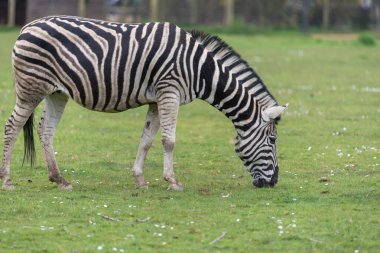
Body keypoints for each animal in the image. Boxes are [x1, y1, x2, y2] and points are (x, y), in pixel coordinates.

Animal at [0, 15, 286, 190]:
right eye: (272, 140)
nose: (273, 182)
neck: (201, 69)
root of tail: (27, 26)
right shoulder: (170, 91)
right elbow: (169, 141)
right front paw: (173, 181)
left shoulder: (157, 99)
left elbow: (147, 139)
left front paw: (139, 179)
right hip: (31, 87)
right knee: (12, 127)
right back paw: (8, 180)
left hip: (56, 92)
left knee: (45, 130)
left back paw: (59, 179)